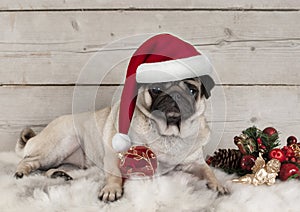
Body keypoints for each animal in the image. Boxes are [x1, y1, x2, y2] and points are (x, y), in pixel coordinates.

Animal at [14, 75, 227, 202]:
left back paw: (60, 174)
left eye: (192, 90)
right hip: (60, 143)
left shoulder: (195, 163)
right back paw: (22, 172)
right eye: (156, 89)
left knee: (51, 168)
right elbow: (115, 174)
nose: (174, 95)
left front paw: (218, 184)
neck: (168, 134)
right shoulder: (113, 154)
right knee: (29, 160)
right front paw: (112, 189)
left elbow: (209, 171)